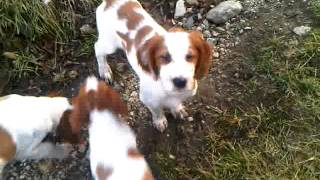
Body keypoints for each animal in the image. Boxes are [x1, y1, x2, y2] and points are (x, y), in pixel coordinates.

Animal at [95, 0, 212, 132]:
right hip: (109, 44)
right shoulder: (148, 99)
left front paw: (177, 110)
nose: (180, 82)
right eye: (164, 57)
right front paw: (160, 121)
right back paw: (104, 71)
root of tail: (110, 2)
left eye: (190, 56)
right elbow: (156, 111)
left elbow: (176, 103)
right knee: (97, 48)